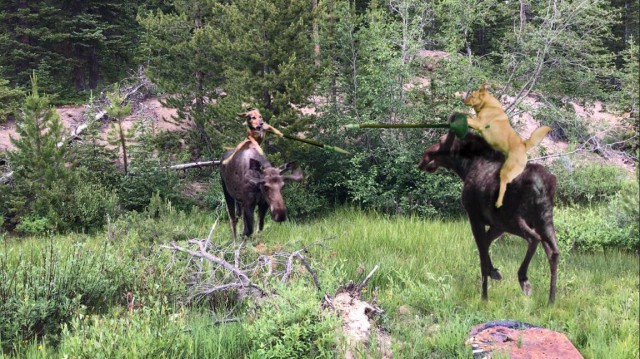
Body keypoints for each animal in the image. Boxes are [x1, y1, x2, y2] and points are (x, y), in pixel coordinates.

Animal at [418, 131, 556, 306]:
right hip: (544, 220)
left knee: (534, 238)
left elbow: (482, 255)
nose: (423, 158)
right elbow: (486, 246)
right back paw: (551, 300)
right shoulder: (496, 225)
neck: (465, 168)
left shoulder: (475, 217)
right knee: (554, 252)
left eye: (440, 140)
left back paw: (523, 279)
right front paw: (493, 271)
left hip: (515, 220)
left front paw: (484, 297)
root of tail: (542, 184)